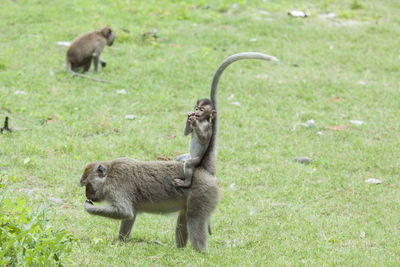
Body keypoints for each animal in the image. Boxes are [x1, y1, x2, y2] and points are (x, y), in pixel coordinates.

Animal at [78, 51, 278, 252]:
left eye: (88, 185)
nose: (88, 195)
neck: (110, 173)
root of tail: (204, 170)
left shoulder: (116, 188)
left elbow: (124, 211)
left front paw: (88, 208)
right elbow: (130, 215)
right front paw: (121, 241)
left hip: (203, 194)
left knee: (194, 218)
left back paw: (200, 252)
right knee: (184, 216)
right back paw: (179, 249)